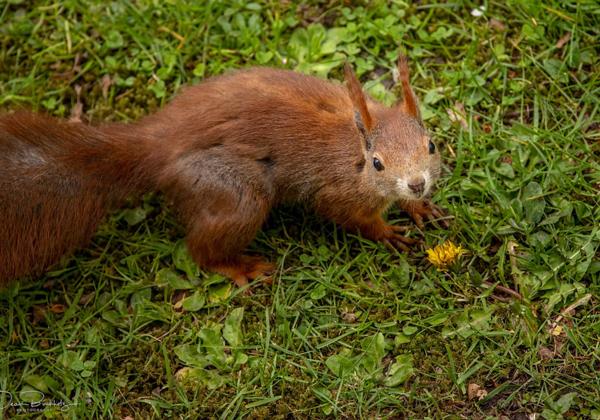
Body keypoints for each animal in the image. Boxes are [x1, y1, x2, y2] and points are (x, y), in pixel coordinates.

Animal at [0, 55, 442, 288]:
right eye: (377, 162)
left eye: (431, 144)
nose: (417, 183)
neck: (354, 143)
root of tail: (159, 145)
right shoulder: (336, 193)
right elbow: (351, 218)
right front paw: (386, 233)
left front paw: (419, 208)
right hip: (235, 193)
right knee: (201, 251)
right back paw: (240, 267)